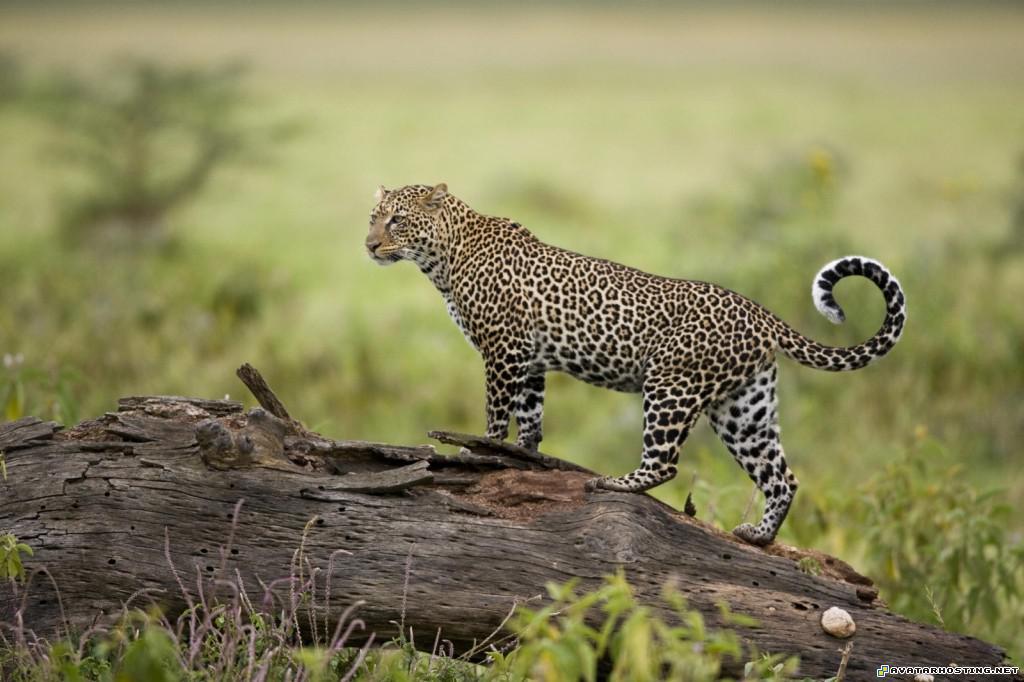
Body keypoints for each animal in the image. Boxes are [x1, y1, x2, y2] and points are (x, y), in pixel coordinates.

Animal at [365, 183, 906, 546]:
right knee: (781, 476)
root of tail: (760, 313)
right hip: (744, 409)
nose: (369, 245)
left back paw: (614, 482)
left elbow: (497, 414)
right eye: (373, 217)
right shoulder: (530, 360)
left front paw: (476, 454)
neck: (442, 258)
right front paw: (523, 456)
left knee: (665, 463)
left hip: (670, 386)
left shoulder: (503, 351)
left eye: (397, 221)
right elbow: (531, 418)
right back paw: (759, 535)